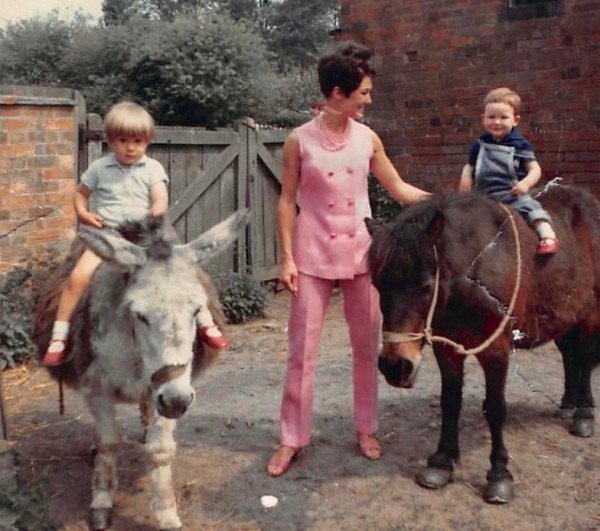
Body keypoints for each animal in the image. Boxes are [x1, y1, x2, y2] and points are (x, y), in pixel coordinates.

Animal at [366, 187, 600, 508]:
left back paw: (584, 414)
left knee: (585, 360)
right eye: (377, 284)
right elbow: (450, 401)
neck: (474, 270)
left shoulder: (496, 351)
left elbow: (495, 409)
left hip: (590, 313)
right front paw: (441, 463)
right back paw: (568, 403)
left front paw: (499, 476)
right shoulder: (448, 349)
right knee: (569, 355)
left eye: (426, 285)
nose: (395, 366)